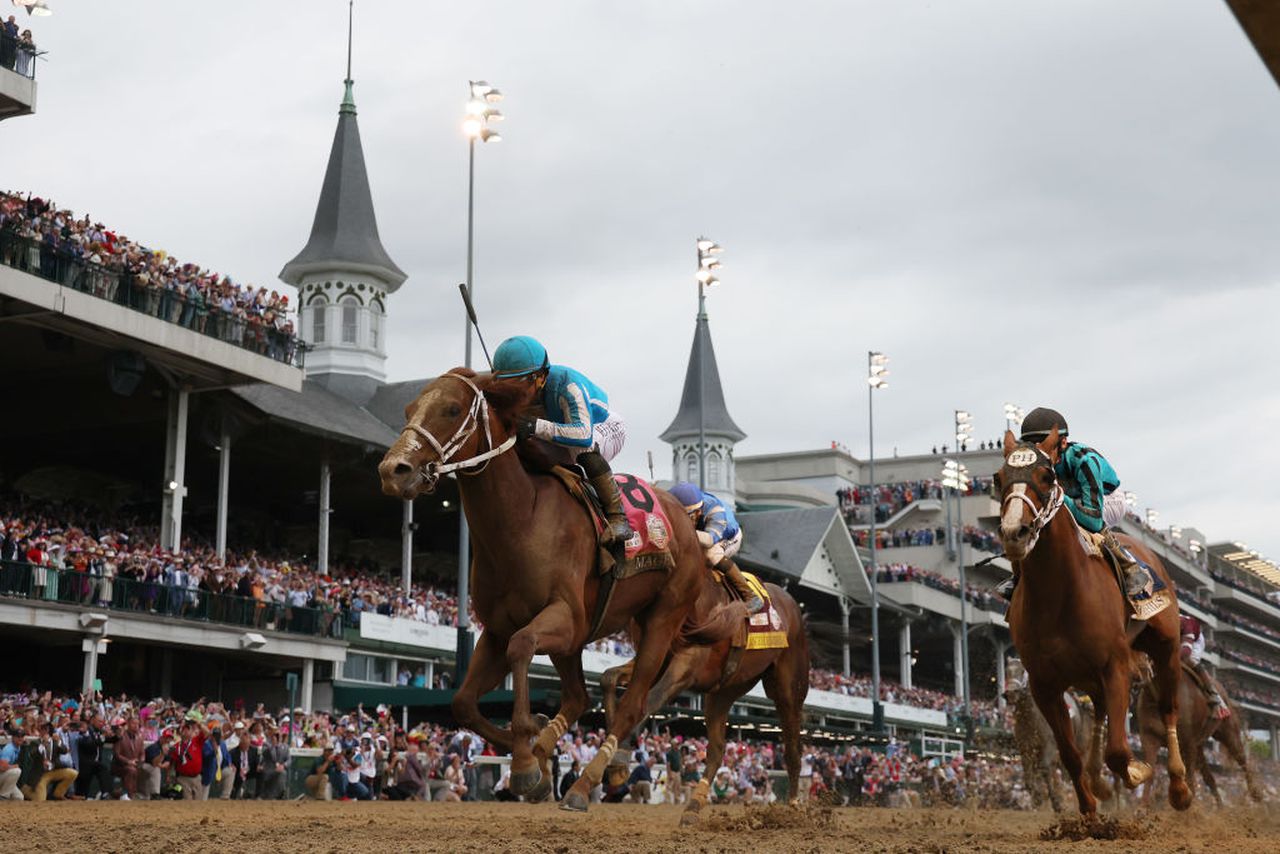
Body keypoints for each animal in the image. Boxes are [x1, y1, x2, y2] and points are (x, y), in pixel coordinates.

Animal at [376, 371, 742, 814]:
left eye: (451, 408)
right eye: (409, 409)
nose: (393, 470)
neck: (522, 519)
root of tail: (690, 530)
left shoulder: (565, 620)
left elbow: (521, 646)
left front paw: (525, 762)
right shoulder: (496, 630)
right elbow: (463, 702)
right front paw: (533, 751)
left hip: (660, 621)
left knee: (632, 703)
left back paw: (585, 785)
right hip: (591, 640)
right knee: (579, 697)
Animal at [593, 578, 803, 824]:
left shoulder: (687, 662)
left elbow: (647, 701)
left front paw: (618, 754)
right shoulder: (657, 657)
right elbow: (609, 678)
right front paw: (613, 756)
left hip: (789, 690)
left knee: (792, 749)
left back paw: (793, 806)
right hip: (725, 690)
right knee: (717, 749)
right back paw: (693, 805)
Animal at [998, 430, 1187, 814]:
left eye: (1047, 477)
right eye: (997, 478)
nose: (1014, 532)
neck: (1057, 594)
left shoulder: (1115, 666)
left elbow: (1119, 752)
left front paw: (1138, 771)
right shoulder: (1044, 685)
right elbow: (1070, 756)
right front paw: (1087, 810)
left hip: (1165, 649)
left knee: (1168, 710)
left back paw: (1178, 787)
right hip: (1089, 677)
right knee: (1098, 717)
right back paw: (1098, 780)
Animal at [1136, 665, 1264, 809]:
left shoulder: (1187, 743)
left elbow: (1189, 777)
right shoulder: (1149, 737)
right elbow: (1150, 770)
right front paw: (1142, 809)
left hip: (1228, 732)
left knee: (1241, 759)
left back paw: (1256, 793)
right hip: (1199, 746)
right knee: (1209, 777)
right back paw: (1221, 807)